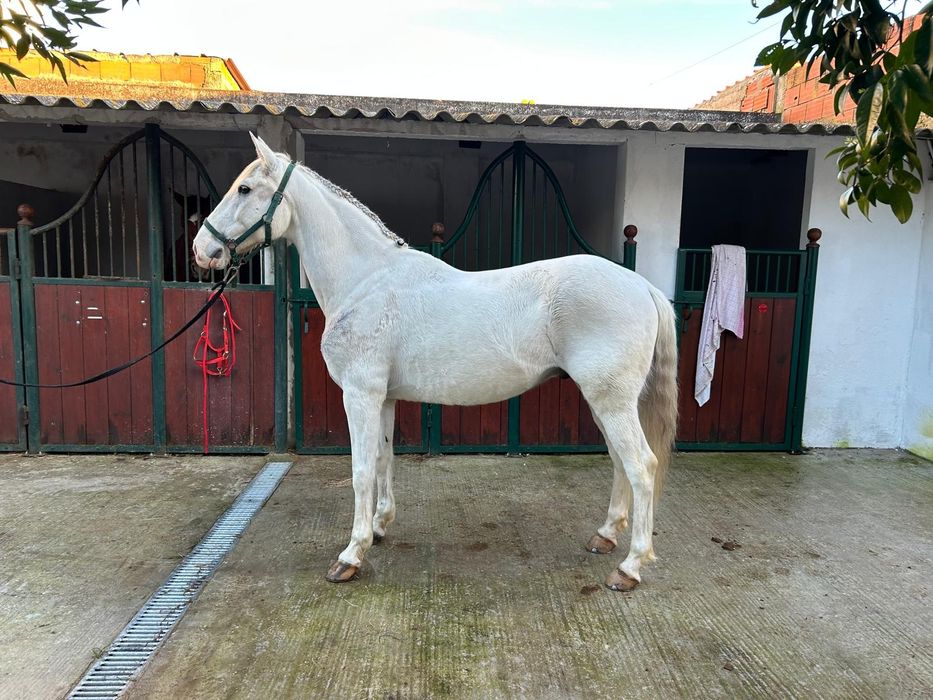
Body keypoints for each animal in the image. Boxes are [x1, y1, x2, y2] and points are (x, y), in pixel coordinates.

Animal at [192, 134, 678, 592]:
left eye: (244, 188)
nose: (201, 250)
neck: (366, 281)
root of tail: (641, 285)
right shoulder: (383, 398)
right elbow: (384, 459)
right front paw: (379, 527)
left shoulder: (360, 395)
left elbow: (361, 471)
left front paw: (350, 555)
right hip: (604, 402)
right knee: (619, 461)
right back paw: (605, 536)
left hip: (611, 400)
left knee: (641, 465)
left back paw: (630, 567)